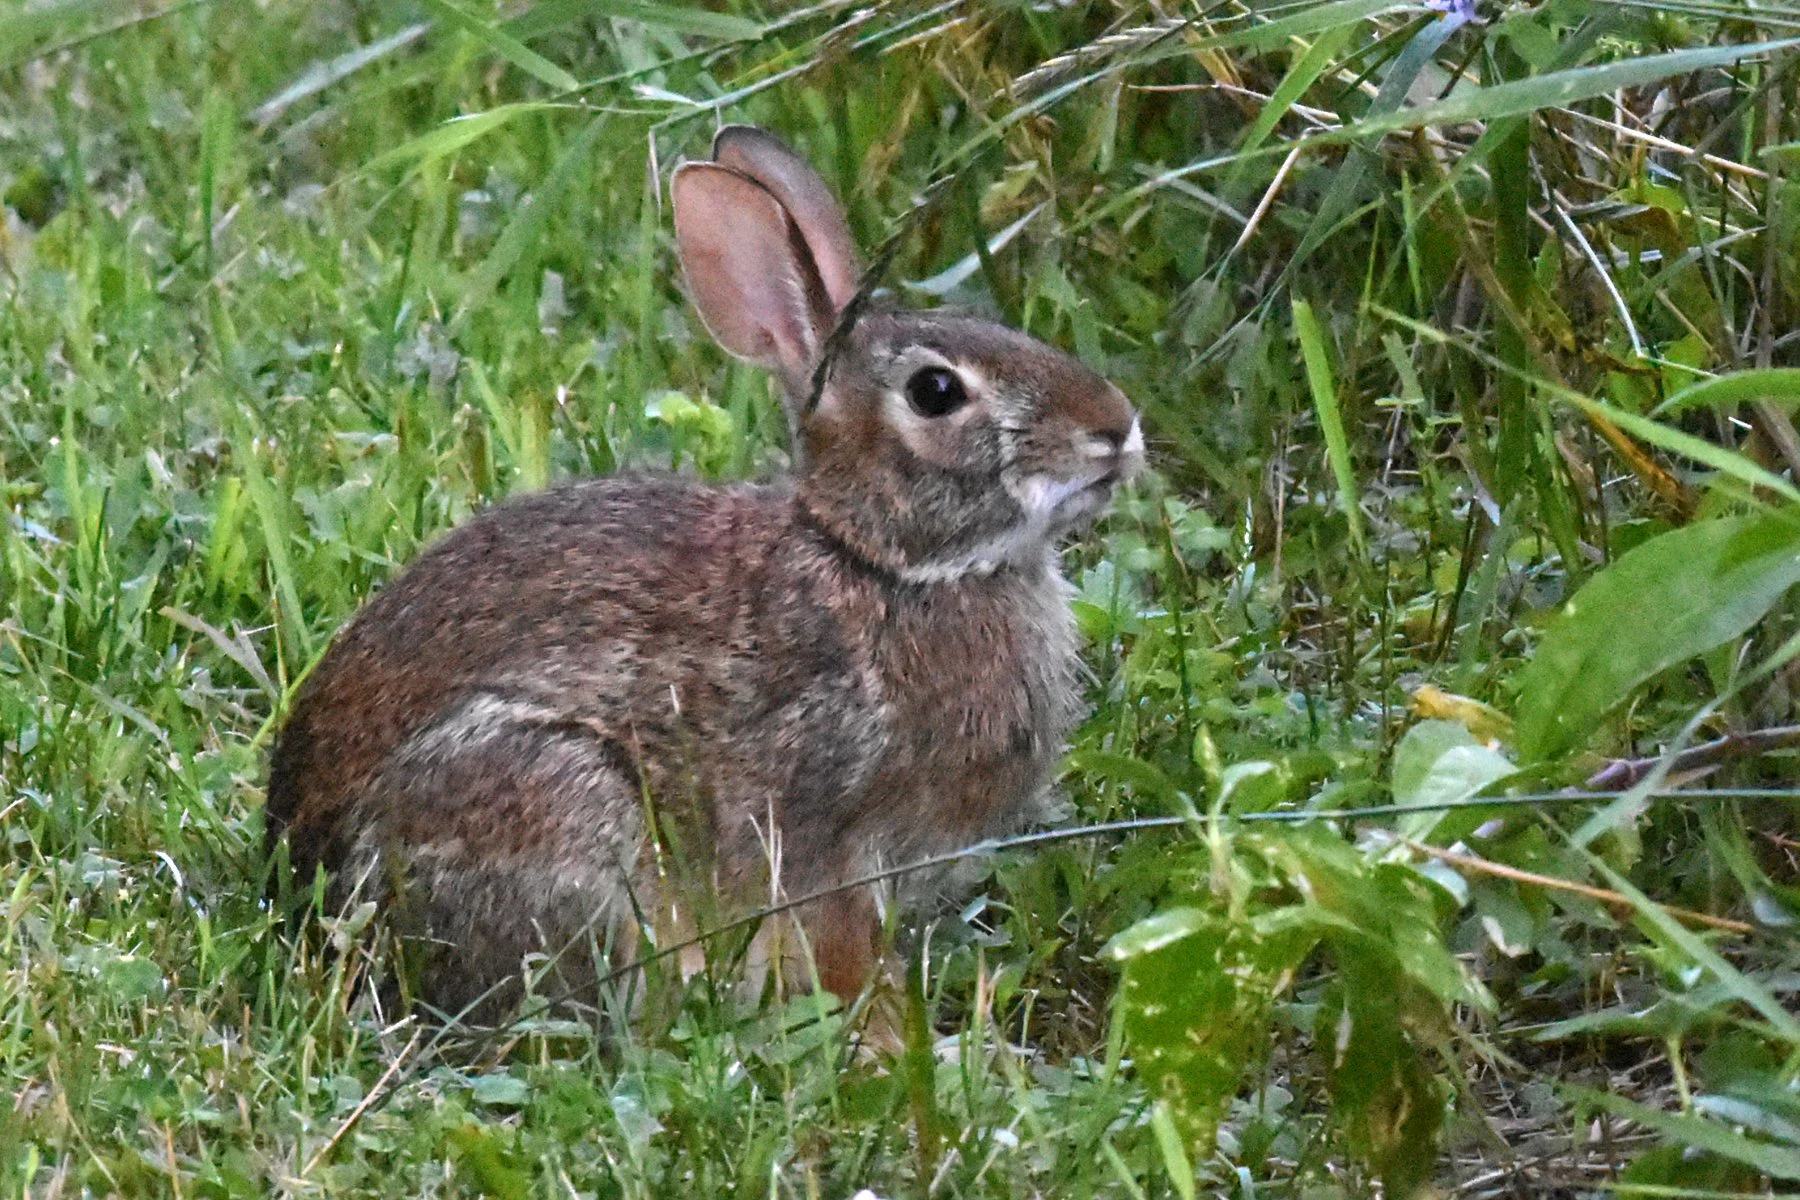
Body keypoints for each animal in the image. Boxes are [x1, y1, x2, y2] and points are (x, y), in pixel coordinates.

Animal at [264, 125, 1143, 1021]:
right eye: (936, 391)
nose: (1116, 427)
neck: (881, 565)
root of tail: (300, 881)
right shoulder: (823, 837)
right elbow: (843, 951)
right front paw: (888, 1033)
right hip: (553, 797)